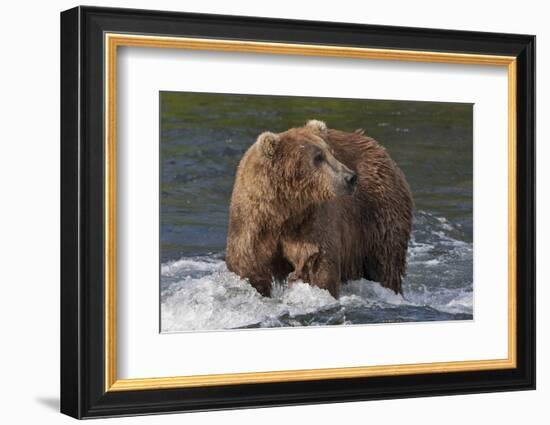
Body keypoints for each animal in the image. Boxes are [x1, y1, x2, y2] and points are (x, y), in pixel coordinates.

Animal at [225, 119, 414, 298]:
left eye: (331, 152)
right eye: (318, 157)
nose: (350, 177)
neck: (285, 210)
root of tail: (379, 148)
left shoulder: (312, 220)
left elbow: (316, 264)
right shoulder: (252, 222)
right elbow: (249, 266)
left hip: (377, 213)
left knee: (385, 263)